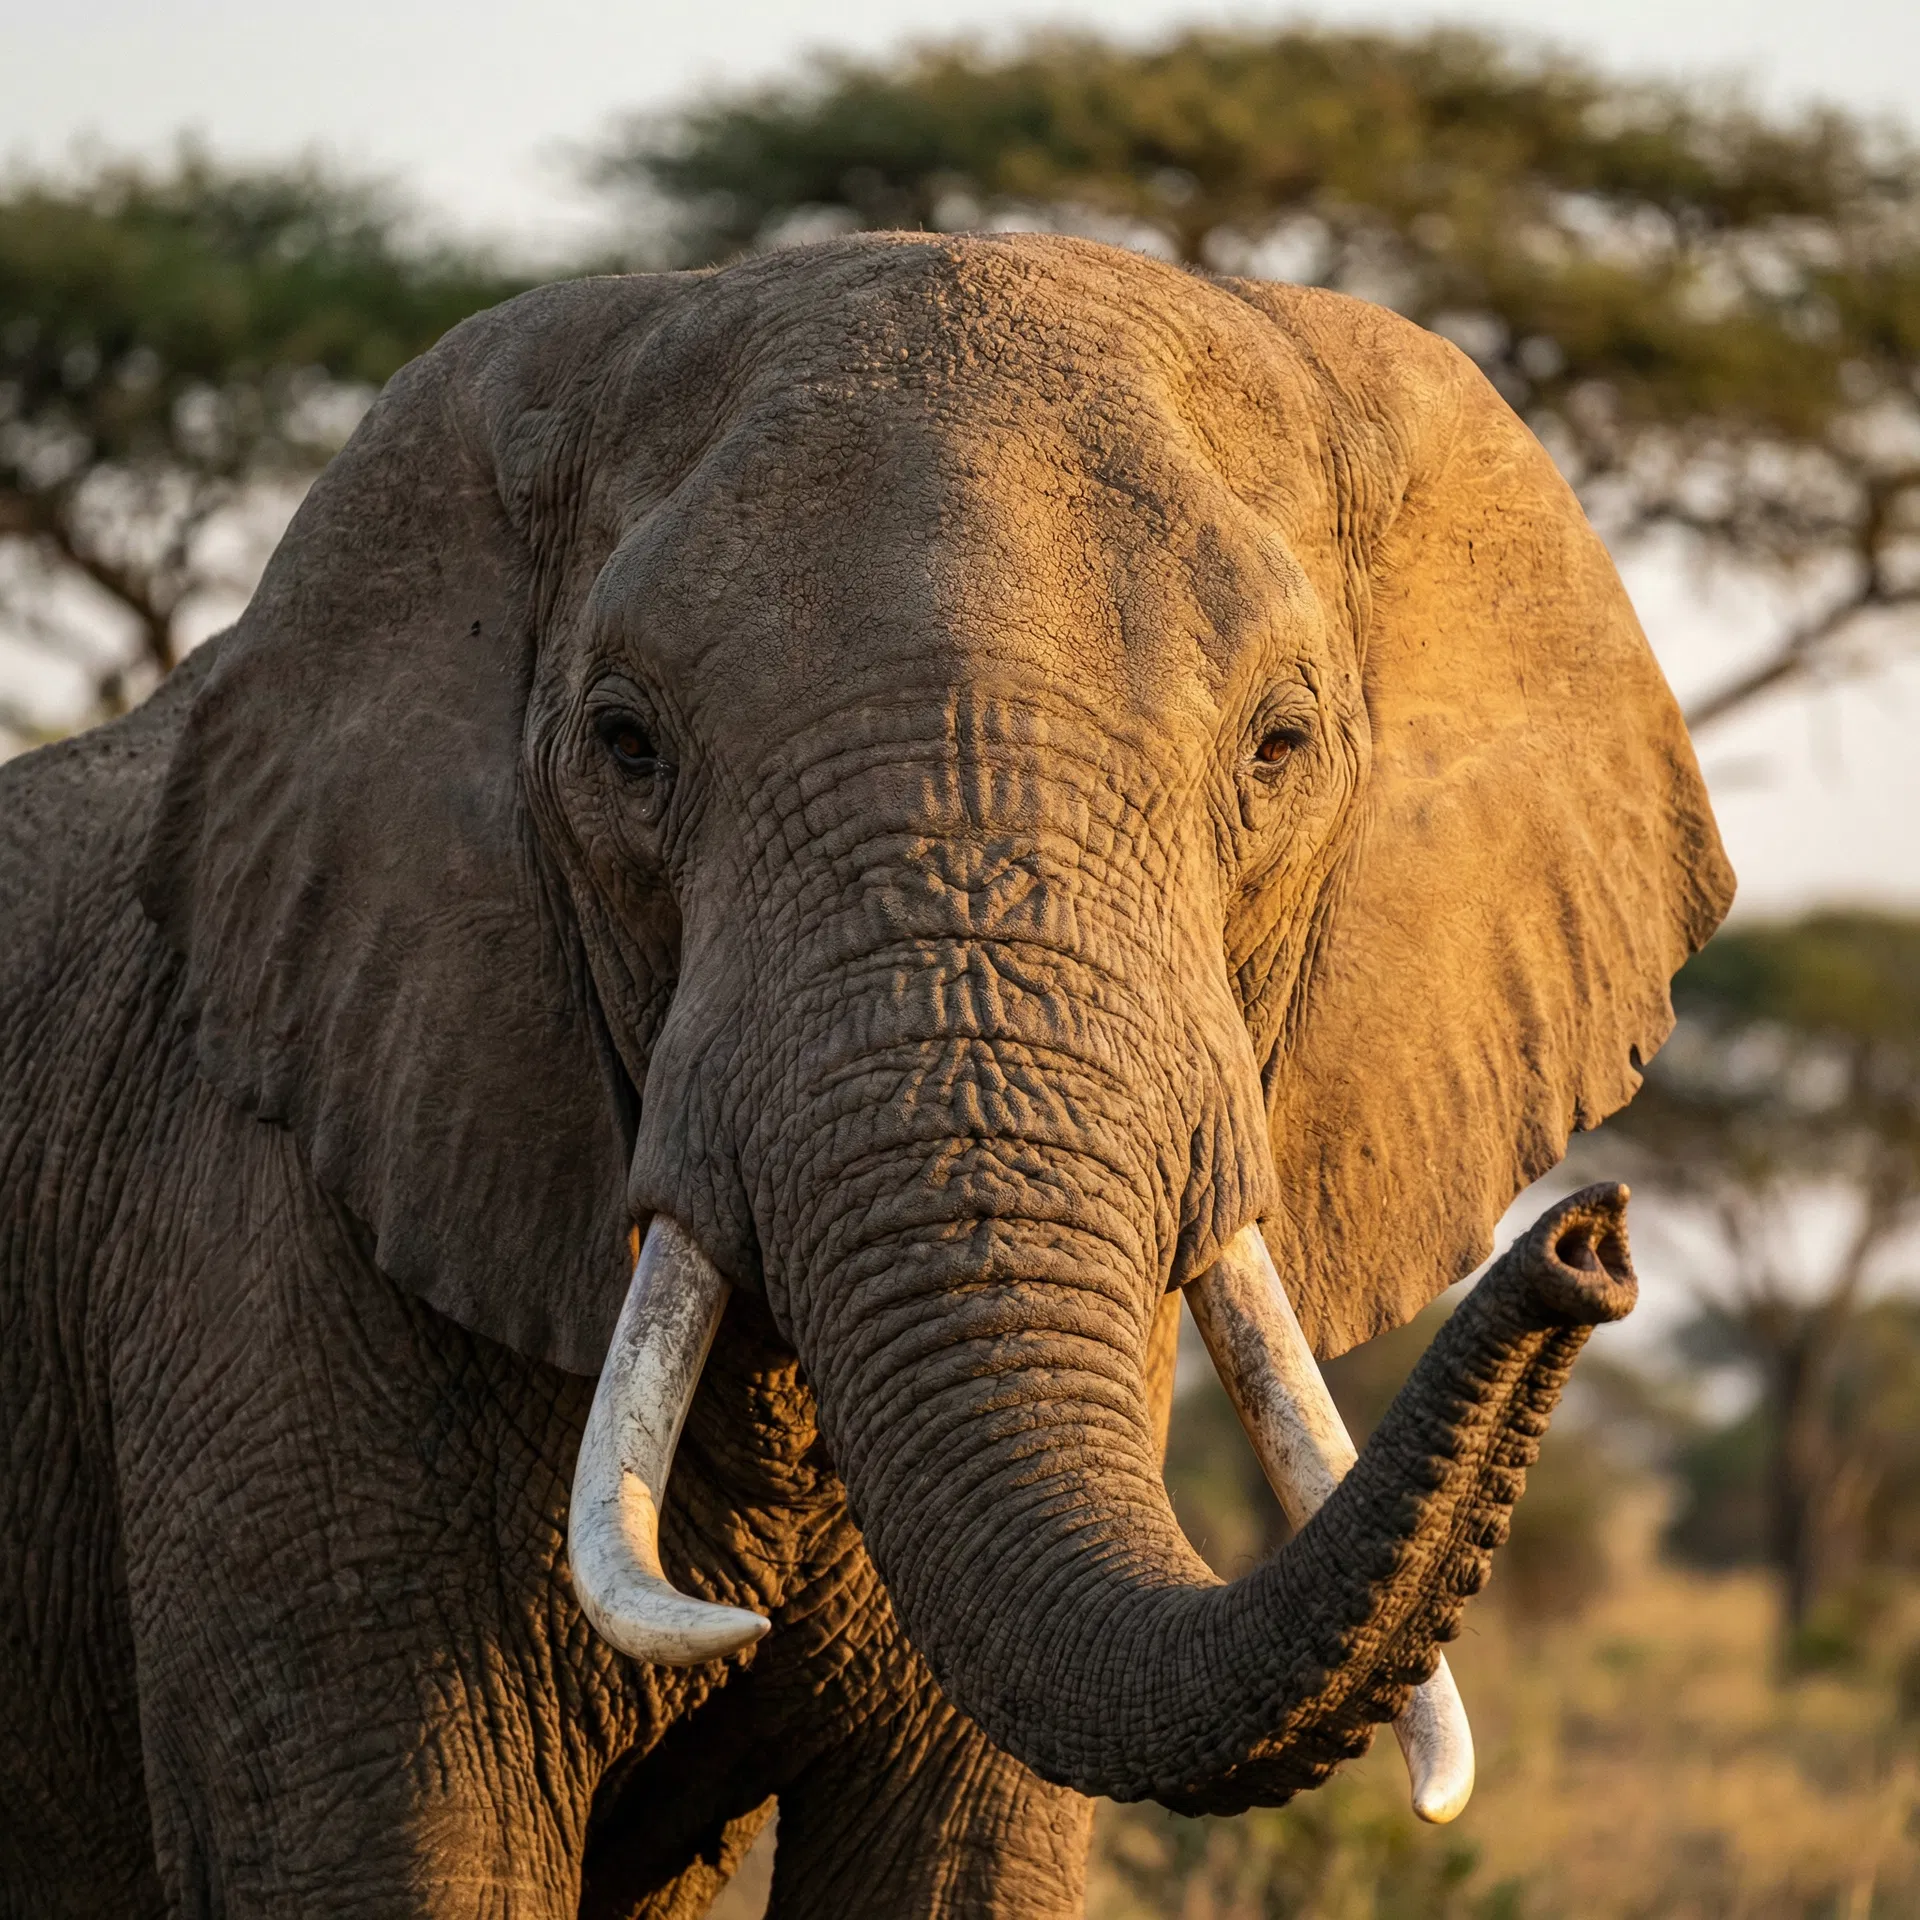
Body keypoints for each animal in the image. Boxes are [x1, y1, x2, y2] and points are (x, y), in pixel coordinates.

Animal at [0, 231, 1733, 1918]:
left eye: (1279, 750)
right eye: (625, 746)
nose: (1591, 1243)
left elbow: (966, 1845)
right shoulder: (262, 1278)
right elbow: (402, 1857)